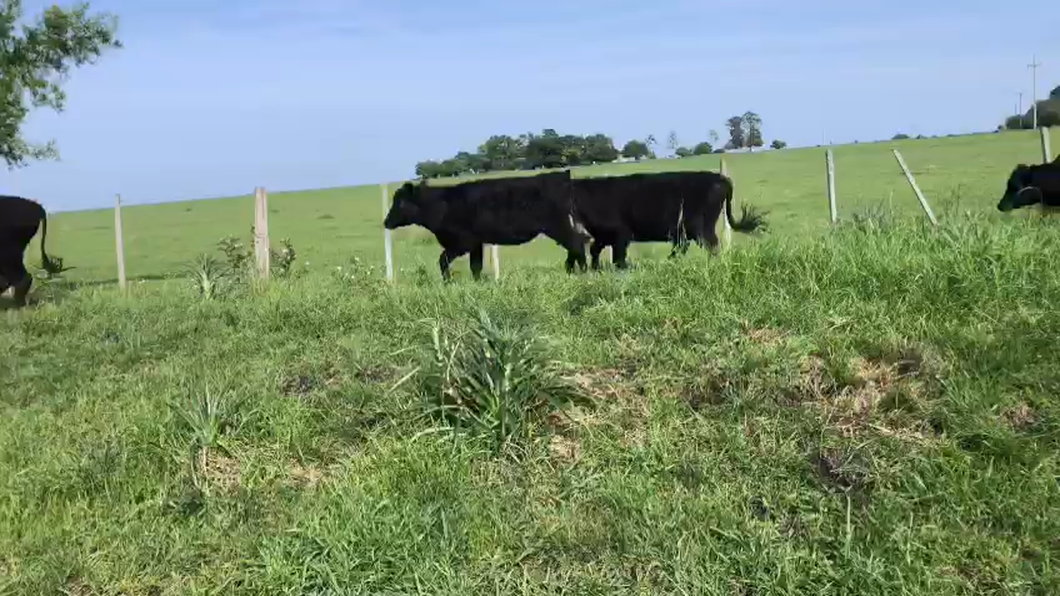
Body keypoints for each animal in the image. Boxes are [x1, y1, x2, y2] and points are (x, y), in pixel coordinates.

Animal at [385, 170, 593, 279]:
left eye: (400, 202)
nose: (386, 222)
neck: (444, 204)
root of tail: (561, 175)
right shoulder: (477, 243)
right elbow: (475, 266)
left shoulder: (462, 243)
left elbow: (443, 260)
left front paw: (447, 282)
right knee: (575, 246)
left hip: (557, 225)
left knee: (576, 245)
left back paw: (582, 273)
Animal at [568, 168, 767, 268]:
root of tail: (721, 178)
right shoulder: (602, 236)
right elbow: (595, 250)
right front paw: (595, 269)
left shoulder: (621, 234)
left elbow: (618, 258)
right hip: (685, 230)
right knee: (684, 246)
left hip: (699, 227)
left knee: (710, 245)